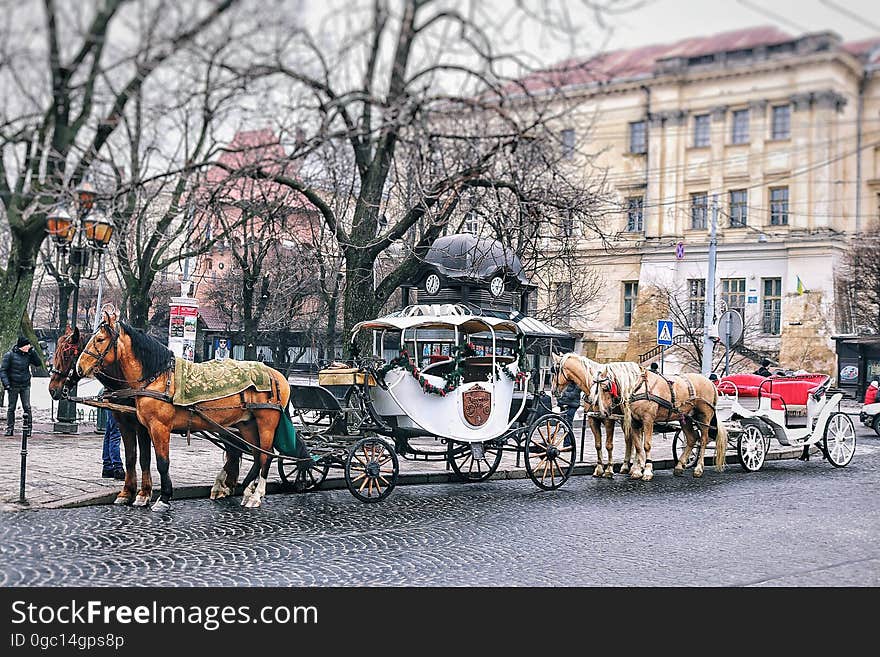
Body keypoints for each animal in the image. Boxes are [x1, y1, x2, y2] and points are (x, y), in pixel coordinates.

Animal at [48, 326, 155, 504]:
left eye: (66, 354)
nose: (52, 389)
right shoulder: (123, 423)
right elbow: (131, 457)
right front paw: (127, 491)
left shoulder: (143, 427)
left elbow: (144, 457)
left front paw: (144, 493)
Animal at [74, 310, 290, 510]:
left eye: (100, 339)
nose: (79, 368)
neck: (157, 378)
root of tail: (277, 375)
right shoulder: (141, 426)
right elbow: (138, 458)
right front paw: (140, 495)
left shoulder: (159, 427)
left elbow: (162, 462)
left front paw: (163, 497)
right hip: (246, 424)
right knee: (255, 454)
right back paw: (244, 490)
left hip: (266, 423)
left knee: (266, 455)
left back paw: (256, 495)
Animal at [592, 366, 728, 480]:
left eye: (605, 388)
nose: (603, 412)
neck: (639, 387)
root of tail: (710, 382)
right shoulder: (635, 422)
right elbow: (638, 446)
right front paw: (637, 471)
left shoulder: (648, 420)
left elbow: (646, 445)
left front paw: (647, 471)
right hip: (686, 418)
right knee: (692, 439)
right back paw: (679, 466)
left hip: (704, 418)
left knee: (703, 440)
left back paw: (698, 469)